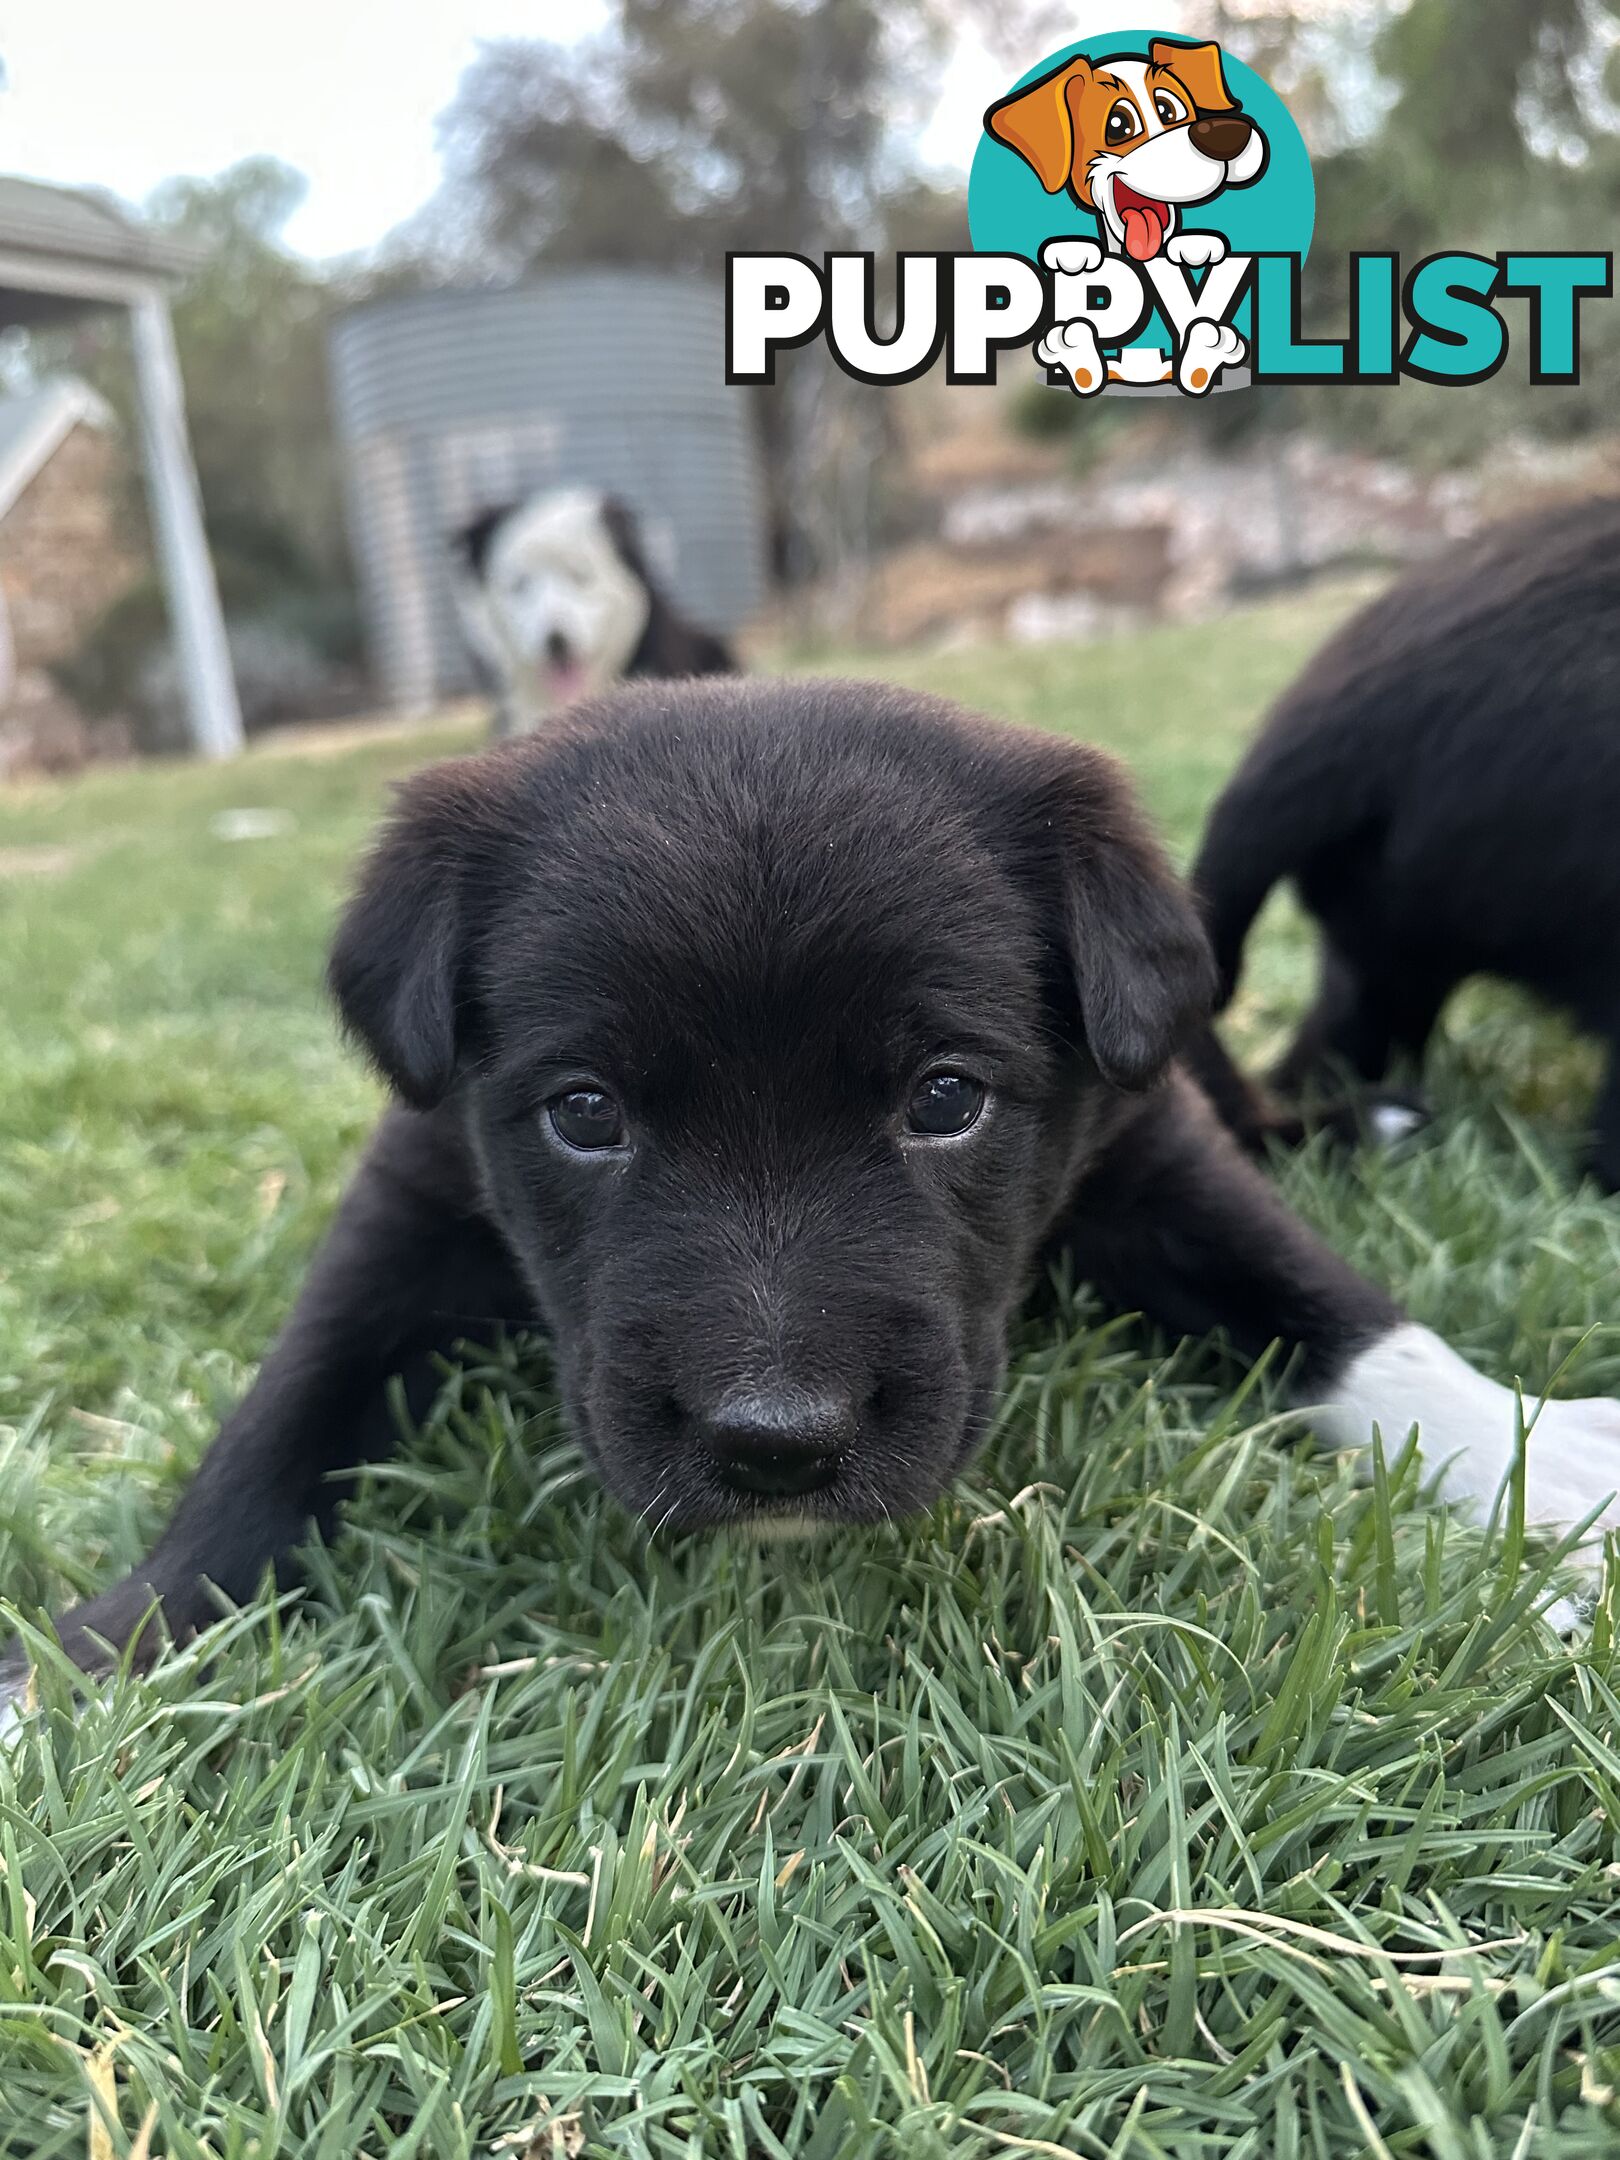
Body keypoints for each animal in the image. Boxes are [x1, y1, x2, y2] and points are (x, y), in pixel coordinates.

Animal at [6, 682, 1615, 1710]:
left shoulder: (1152, 1155)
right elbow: (276, 1426)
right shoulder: (408, 1201)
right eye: (585, 1114)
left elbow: (1339, 1311)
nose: (774, 1442)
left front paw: (1537, 1462)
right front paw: (96, 1658)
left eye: (946, 1099)